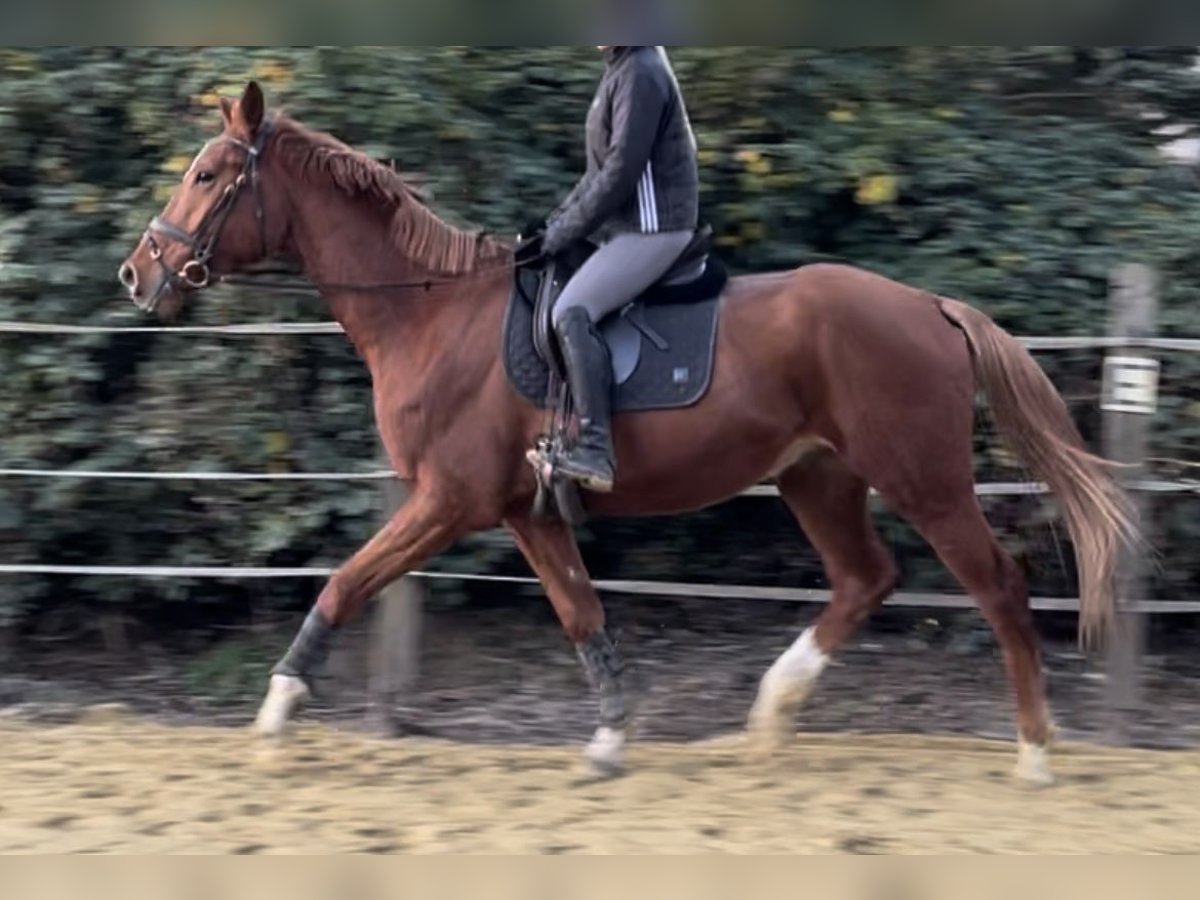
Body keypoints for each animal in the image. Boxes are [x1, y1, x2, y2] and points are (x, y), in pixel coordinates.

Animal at [119, 84, 1132, 787]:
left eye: (207, 176)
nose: (138, 273)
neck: (430, 314)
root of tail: (929, 305)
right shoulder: (524, 510)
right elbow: (582, 612)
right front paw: (609, 739)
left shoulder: (448, 501)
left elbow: (344, 581)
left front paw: (274, 714)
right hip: (818, 476)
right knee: (864, 579)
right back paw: (770, 713)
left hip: (923, 479)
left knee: (996, 586)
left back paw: (1034, 753)